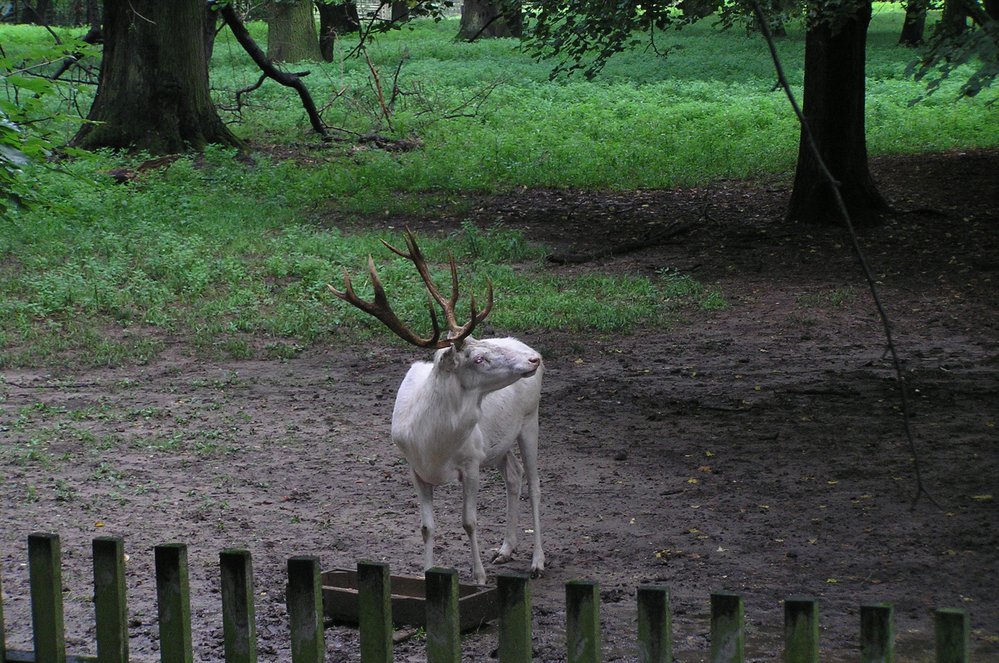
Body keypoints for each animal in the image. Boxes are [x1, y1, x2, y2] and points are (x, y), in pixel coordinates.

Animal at [332, 231, 544, 584]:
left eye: (483, 343)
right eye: (479, 357)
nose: (533, 360)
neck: (435, 446)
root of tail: (525, 342)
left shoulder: (471, 463)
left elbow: (469, 521)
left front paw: (480, 577)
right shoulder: (415, 468)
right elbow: (426, 528)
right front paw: (426, 575)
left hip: (531, 419)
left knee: (534, 482)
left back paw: (538, 561)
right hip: (499, 443)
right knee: (513, 475)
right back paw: (505, 549)